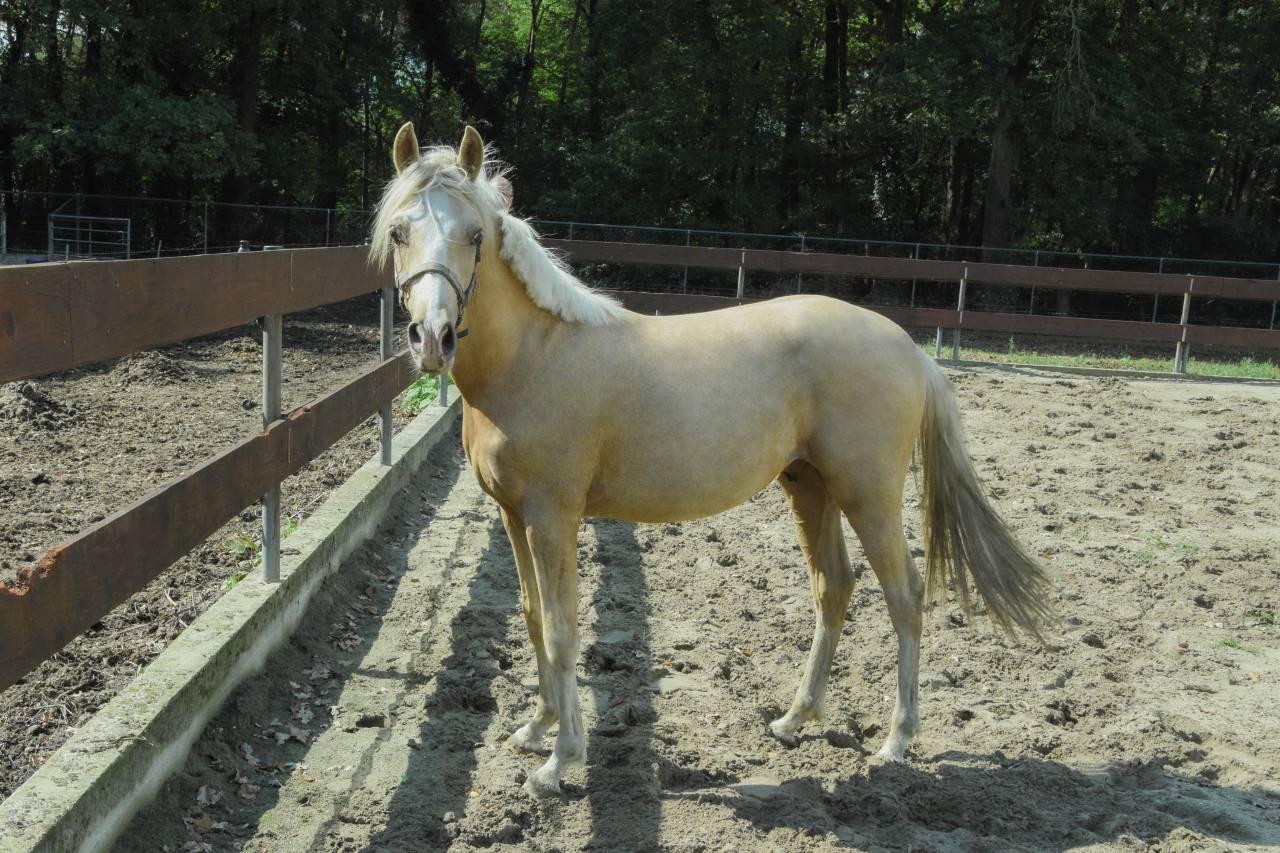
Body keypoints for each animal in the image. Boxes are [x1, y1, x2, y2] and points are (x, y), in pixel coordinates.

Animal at [369, 124, 1053, 798]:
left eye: (475, 235)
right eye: (400, 231)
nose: (432, 340)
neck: (535, 356)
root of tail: (910, 349)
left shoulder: (552, 517)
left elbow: (565, 630)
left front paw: (560, 761)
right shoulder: (514, 515)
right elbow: (536, 619)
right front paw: (536, 730)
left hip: (869, 494)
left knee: (905, 595)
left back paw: (896, 741)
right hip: (810, 485)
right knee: (834, 587)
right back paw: (793, 719)